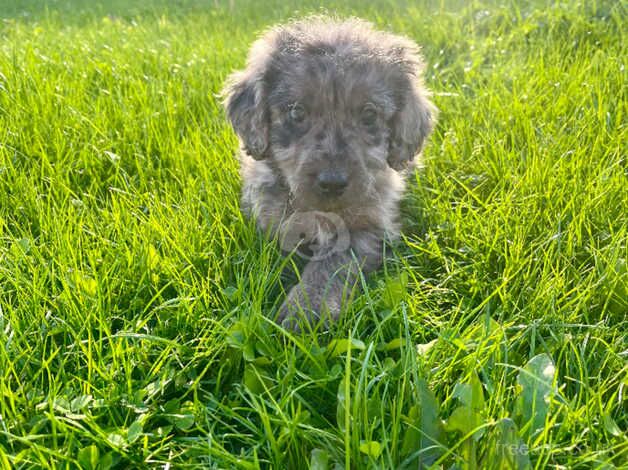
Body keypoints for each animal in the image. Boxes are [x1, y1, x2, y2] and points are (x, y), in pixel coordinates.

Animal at [222, 17, 436, 326]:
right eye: (297, 112)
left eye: (369, 114)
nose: (333, 183)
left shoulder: (368, 227)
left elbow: (332, 263)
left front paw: (306, 307)